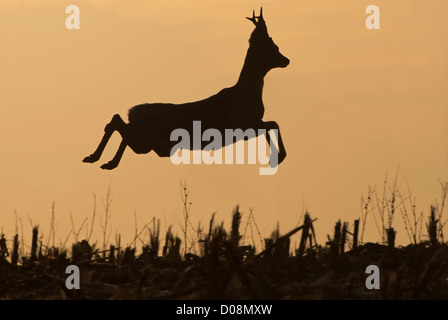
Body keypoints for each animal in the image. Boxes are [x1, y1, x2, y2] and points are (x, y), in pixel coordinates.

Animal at [82, 8, 288, 170]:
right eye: (274, 47)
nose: (287, 60)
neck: (248, 92)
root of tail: (133, 112)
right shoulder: (243, 124)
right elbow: (273, 124)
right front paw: (278, 157)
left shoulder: (250, 125)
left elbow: (273, 124)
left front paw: (276, 157)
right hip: (148, 141)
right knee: (119, 126)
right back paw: (103, 160)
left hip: (152, 143)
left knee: (117, 122)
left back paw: (98, 159)